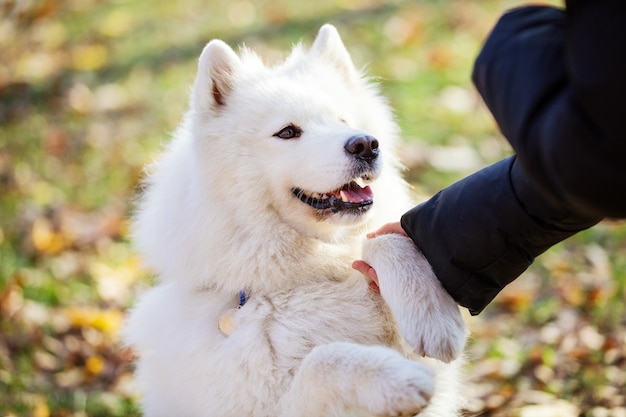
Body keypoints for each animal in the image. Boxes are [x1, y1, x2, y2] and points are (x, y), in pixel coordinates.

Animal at [125, 24, 468, 414]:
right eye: (287, 132)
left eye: (342, 121)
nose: (366, 144)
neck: (302, 280)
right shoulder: (264, 404)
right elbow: (323, 360)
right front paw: (396, 377)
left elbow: (383, 240)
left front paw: (433, 317)